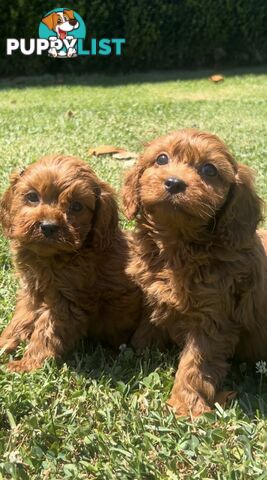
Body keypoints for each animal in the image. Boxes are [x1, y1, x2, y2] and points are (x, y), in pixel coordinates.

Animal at [0, 154, 142, 372]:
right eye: (32, 197)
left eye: (76, 206)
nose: (48, 227)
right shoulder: (32, 291)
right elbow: (20, 320)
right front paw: (4, 343)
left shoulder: (66, 301)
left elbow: (46, 331)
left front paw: (27, 364)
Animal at [123, 128, 267, 416]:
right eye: (162, 158)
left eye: (209, 170)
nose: (174, 183)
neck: (179, 246)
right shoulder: (155, 293)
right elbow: (149, 325)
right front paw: (138, 350)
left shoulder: (213, 319)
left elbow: (195, 364)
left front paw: (184, 405)